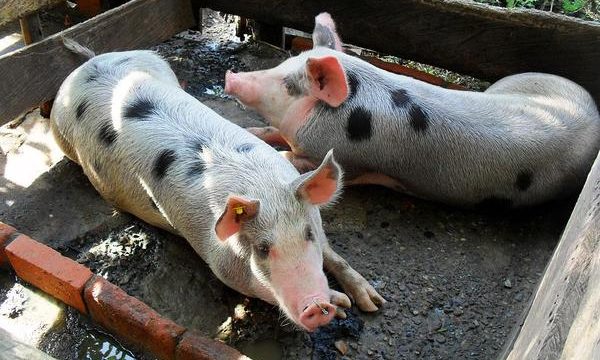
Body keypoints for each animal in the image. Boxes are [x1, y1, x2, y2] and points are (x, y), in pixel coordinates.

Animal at [225, 12, 600, 207]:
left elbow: (296, 160)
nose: (231, 76)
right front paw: (252, 132)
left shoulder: (347, 162)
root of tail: (593, 109)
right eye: (284, 63)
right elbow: (271, 133)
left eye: (289, 85)